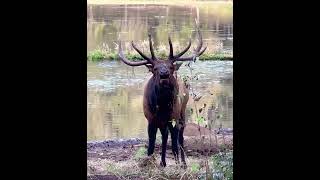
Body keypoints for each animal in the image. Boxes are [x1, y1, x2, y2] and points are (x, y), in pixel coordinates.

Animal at [119, 20, 206, 167]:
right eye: (155, 68)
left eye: (170, 67)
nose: (164, 74)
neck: (162, 105)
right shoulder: (151, 119)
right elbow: (151, 145)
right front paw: (149, 162)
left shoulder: (173, 117)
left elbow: (175, 145)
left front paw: (177, 164)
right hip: (163, 122)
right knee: (165, 136)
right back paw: (163, 162)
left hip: (182, 112)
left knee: (180, 138)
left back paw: (183, 162)